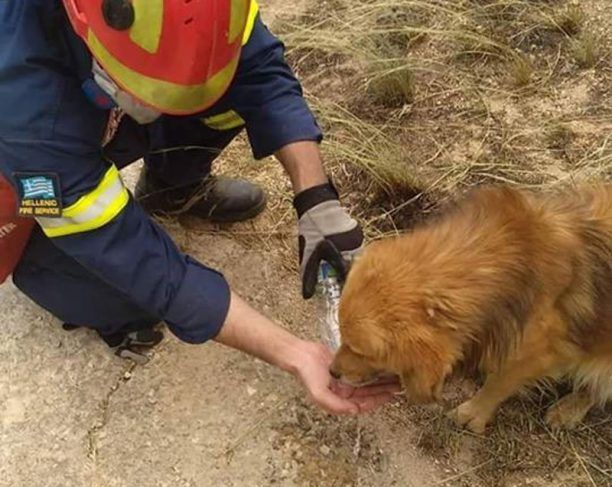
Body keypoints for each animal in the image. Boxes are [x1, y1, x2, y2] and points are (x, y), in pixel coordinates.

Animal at [332, 185, 608, 432]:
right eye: (341, 336)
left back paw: (569, 409)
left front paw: (473, 413)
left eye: (362, 351)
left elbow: (498, 382)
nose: (332, 372)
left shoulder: (539, 353)